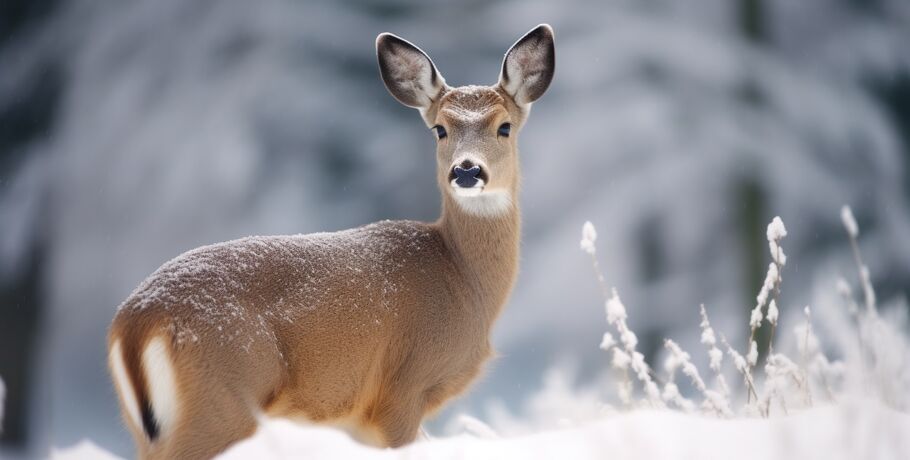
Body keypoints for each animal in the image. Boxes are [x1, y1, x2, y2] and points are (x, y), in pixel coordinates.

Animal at [108, 23, 556, 458]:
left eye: (504, 126)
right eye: (440, 129)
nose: (466, 171)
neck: (463, 278)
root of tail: (133, 324)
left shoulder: (357, 416)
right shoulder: (402, 389)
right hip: (220, 399)